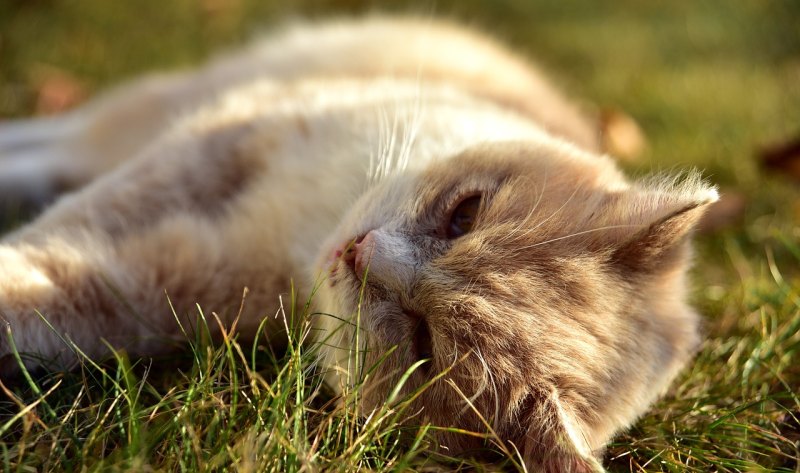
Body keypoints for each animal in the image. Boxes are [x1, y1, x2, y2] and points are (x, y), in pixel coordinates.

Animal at [0, 15, 716, 472]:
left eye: (425, 345)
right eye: (465, 215)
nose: (357, 254)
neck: (303, 238)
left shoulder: (171, 286)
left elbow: (58, 296)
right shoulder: (215, 144)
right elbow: (70, 225)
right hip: (157, 111)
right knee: (54, 141)